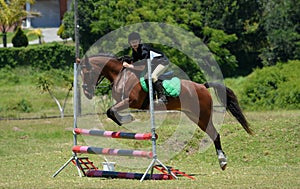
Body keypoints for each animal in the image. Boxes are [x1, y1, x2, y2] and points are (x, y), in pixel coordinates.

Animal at [78, 54, 252, 171]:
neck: (121, 75)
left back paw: (223, 161)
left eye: (87, 72)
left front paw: (128, 119)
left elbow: (111, 111)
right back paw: (222, 161)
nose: (86, 93)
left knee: (215, 134)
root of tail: (202, 86)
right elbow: (111, 111)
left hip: (202, 115)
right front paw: (126, 119)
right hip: (194, 115)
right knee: (212, 133)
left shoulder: (132, 101)